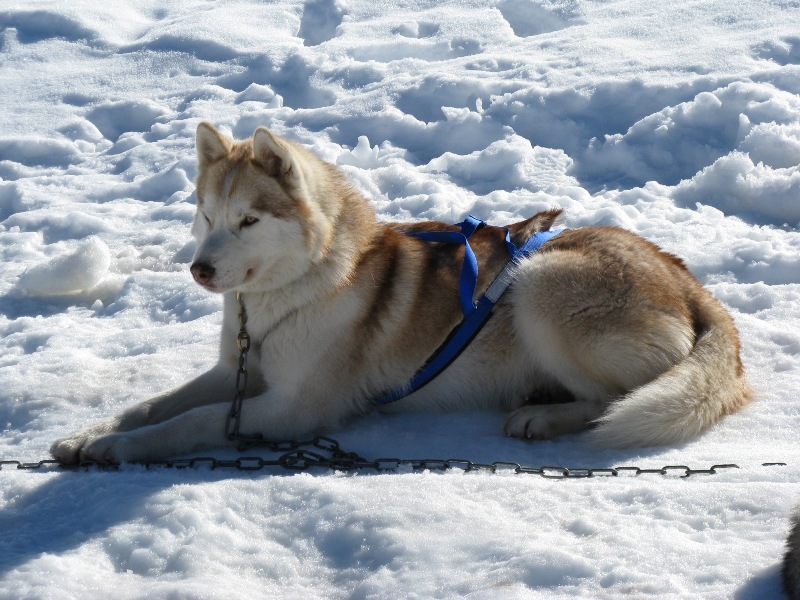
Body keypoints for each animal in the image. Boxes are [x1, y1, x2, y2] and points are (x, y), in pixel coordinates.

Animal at [50, 122, 752, 464]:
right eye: (205, 216)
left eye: (248, 221)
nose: (199, 269)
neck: (288, 298)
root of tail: (688, 279)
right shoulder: (237, 371)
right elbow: (155, 405)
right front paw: (93, 435)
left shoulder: (293, 409)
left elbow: (192, 421)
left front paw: (118, 450)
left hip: (539, 283)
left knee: (616, 401)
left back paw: (543, 417)